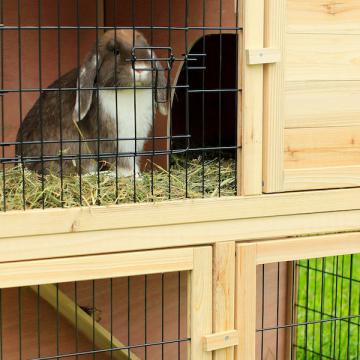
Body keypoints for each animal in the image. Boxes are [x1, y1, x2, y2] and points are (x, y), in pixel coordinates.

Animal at [14, 30, 168, 176]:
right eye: (115, 51)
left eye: (146, 49)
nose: (141, 68)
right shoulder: (115, 140)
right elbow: (123, 163)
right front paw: (133, 175)